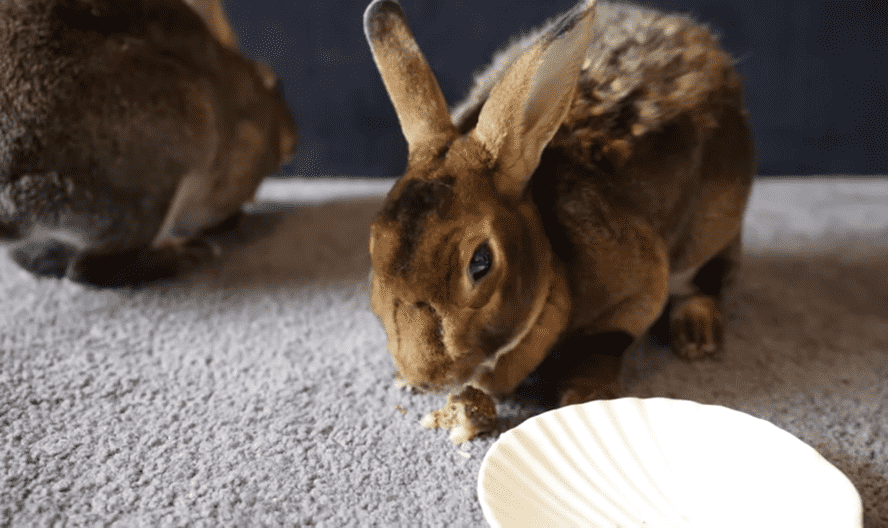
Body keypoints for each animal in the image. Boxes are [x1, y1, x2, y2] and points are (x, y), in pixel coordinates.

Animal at [364, 0, 752, 442]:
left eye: (480, 263)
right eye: (374, 247)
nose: (423, 375)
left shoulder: (641, 286)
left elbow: (605, 340)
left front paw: (584, 395)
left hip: (714, 226)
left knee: (707, 279)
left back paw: (697, 336)